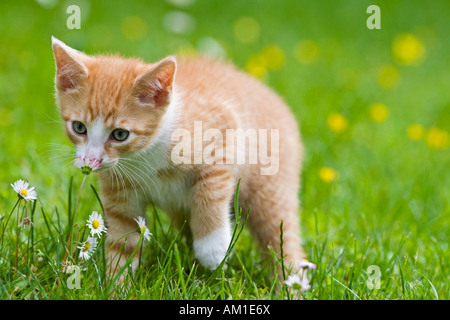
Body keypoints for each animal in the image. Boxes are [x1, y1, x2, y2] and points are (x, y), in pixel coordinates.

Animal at [51, 37, 306, 278]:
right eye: (79, 127)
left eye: (120, 134)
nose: (91, 161)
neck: (146, 154)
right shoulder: (120, 193)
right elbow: (122, 242)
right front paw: (117, 283)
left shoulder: (224, 131)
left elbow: (210, 192)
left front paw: (213, 249)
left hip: (270, 189)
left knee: (281, 239)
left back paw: (291, 284)